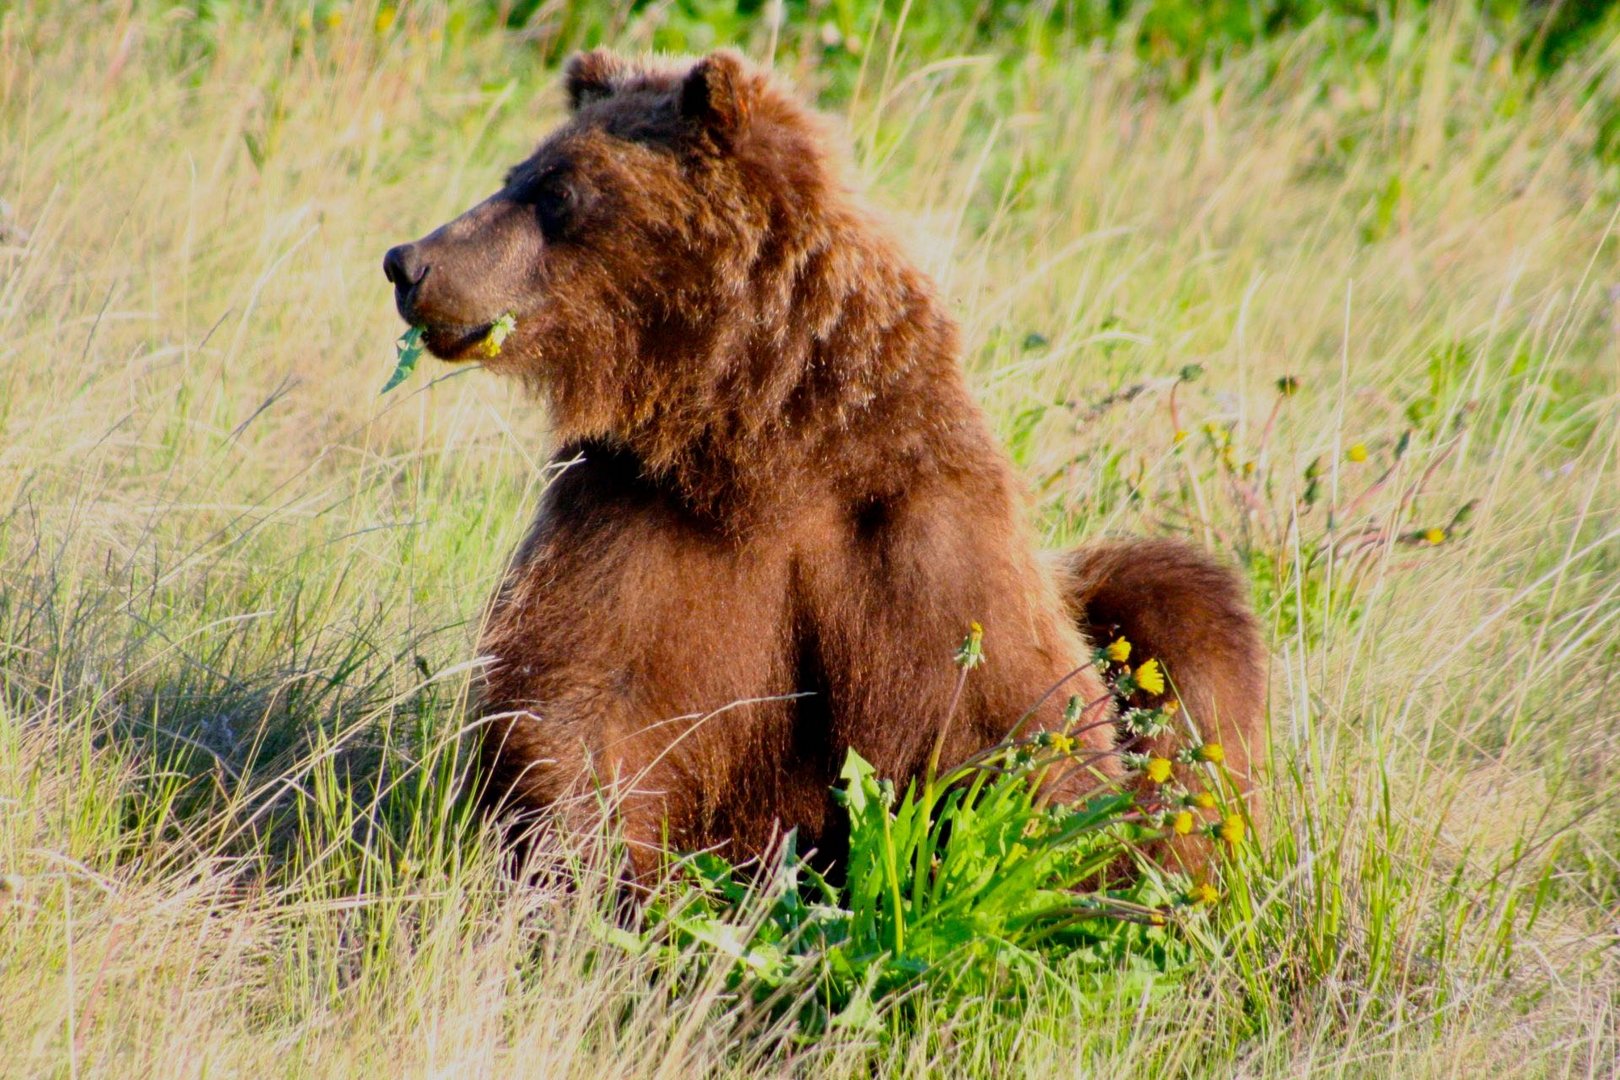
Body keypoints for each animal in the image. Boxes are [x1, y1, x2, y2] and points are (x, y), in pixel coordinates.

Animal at [382, 48, 1263, 880]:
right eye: (519, 173)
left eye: (558, 191)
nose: (409, 260)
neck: (762, 448)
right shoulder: (630, 507)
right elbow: (584, 700)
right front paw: (591, 868)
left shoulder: (916, 536)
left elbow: (1015, 730)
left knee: (1187, 618)